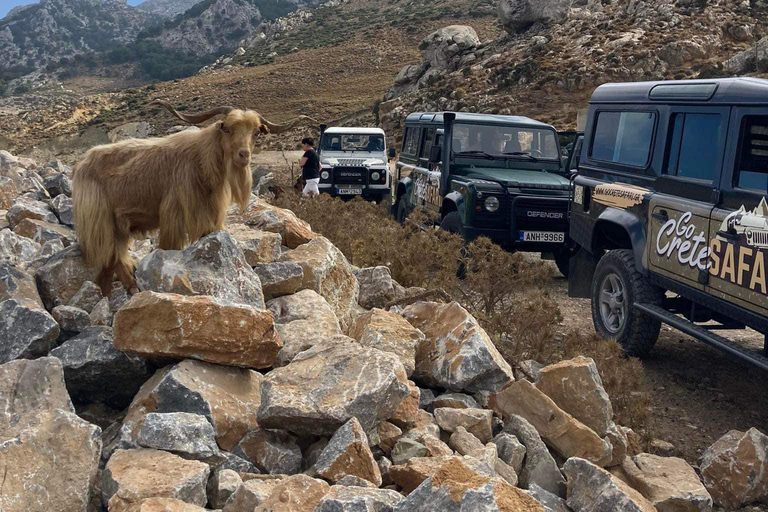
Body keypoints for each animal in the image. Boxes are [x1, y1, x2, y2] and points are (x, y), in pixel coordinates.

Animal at [72, 100, 312, 294]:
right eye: (227, 128)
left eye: (256, 133)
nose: (243, 155)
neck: (202, 161)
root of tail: (82, 164)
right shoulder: (176, 214)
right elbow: (170, 246)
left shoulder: (211, 217)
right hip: (103, 222)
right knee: (112, 259)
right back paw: (129, 289)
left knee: (109, 265)